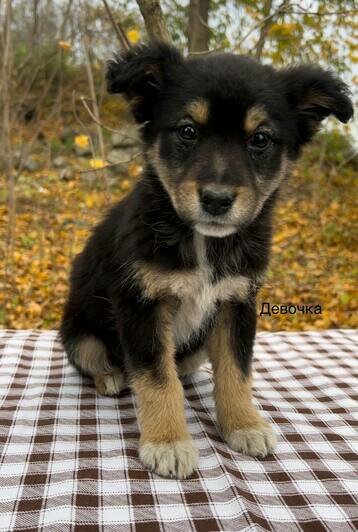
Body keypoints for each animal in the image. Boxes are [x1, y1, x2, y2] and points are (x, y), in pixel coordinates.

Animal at [60, 43, 354, 480]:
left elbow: (236, 371)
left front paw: (244, 425)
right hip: (80, 332)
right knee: (95, 359)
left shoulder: (237, 302)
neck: (203, 243)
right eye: (187, 131)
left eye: (261, 139)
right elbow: (157, 377)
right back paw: (111, 376)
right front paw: (168, 442)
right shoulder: (142, 305)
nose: (217, 200)